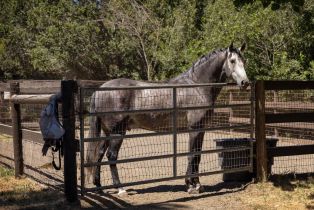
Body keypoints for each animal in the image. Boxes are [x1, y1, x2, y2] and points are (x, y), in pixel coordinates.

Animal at [84, 42, 249, 195]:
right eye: (232, 60)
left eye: (244, 60)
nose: (245, 83)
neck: (197, 86)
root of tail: (100, 90)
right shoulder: (194, 129)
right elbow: (192, 155)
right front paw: (191, 185)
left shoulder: (201, 129)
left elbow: (197, 155)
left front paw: (197, 184)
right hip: (117, 132)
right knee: (111, 156)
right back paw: (120, 188)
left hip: (107, 132)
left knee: (99, 154)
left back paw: (99, 187)